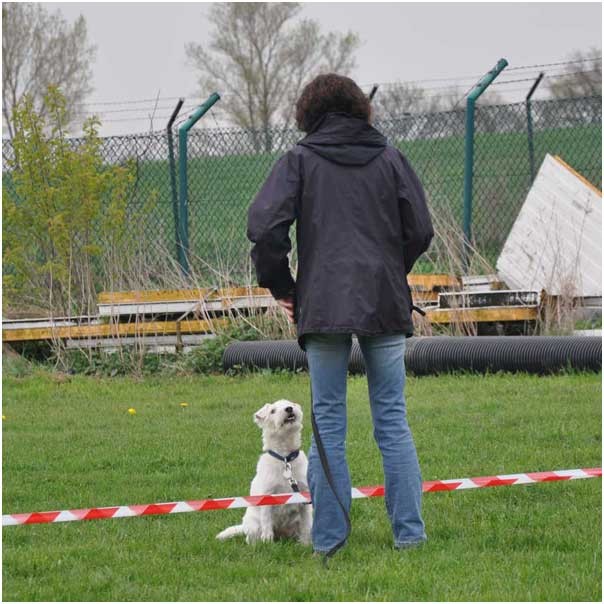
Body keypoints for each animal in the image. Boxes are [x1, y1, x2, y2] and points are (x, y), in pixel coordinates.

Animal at [216, 398, 312, 544]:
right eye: (272, 411)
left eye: (290, 403)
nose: (289, 409)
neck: (285, 458)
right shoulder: (267, 496)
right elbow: (267, 521)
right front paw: (267, 541)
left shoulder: (303, 496)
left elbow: (306, 524)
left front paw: (306, 544)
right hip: (253, 525)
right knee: (251, 537)